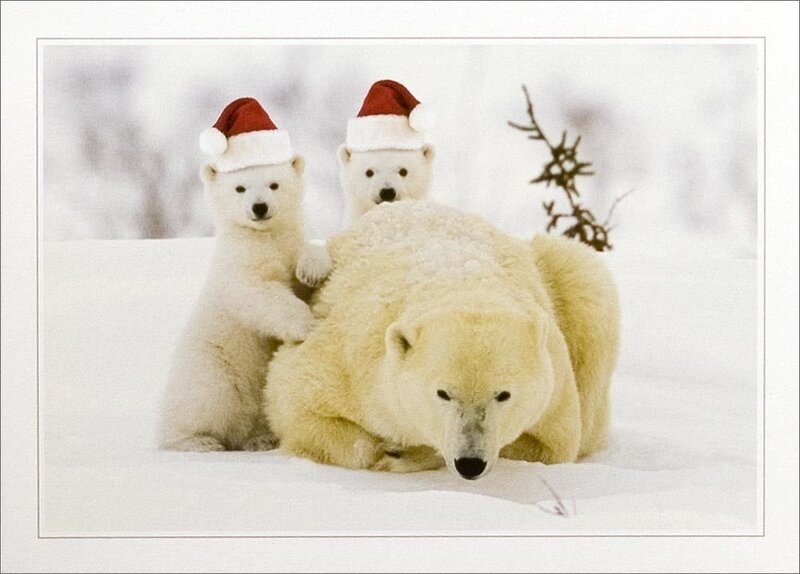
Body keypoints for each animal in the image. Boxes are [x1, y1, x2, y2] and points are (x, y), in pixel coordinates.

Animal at [265, 201, 620, 479]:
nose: (470, 463)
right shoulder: (347, 359)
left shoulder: (554, 386)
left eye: (503, 394)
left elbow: (554, 445)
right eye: (443, 393)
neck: (462, 284)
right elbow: (292, 401)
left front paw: (407, 454)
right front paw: (387, 450)